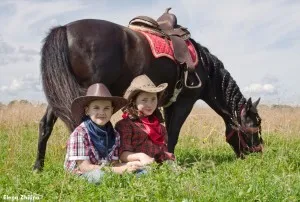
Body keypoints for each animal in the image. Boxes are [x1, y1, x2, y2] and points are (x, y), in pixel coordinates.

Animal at [33, 15, 262, 170]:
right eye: (256, 126)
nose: (258, 154)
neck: (204, 67)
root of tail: (64, 29)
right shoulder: (185, 101)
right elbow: (174, 133)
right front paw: (168, 160)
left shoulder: (170, 102)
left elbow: (167, 132)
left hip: (61, 93)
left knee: (46, 125)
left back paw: (38, 167)